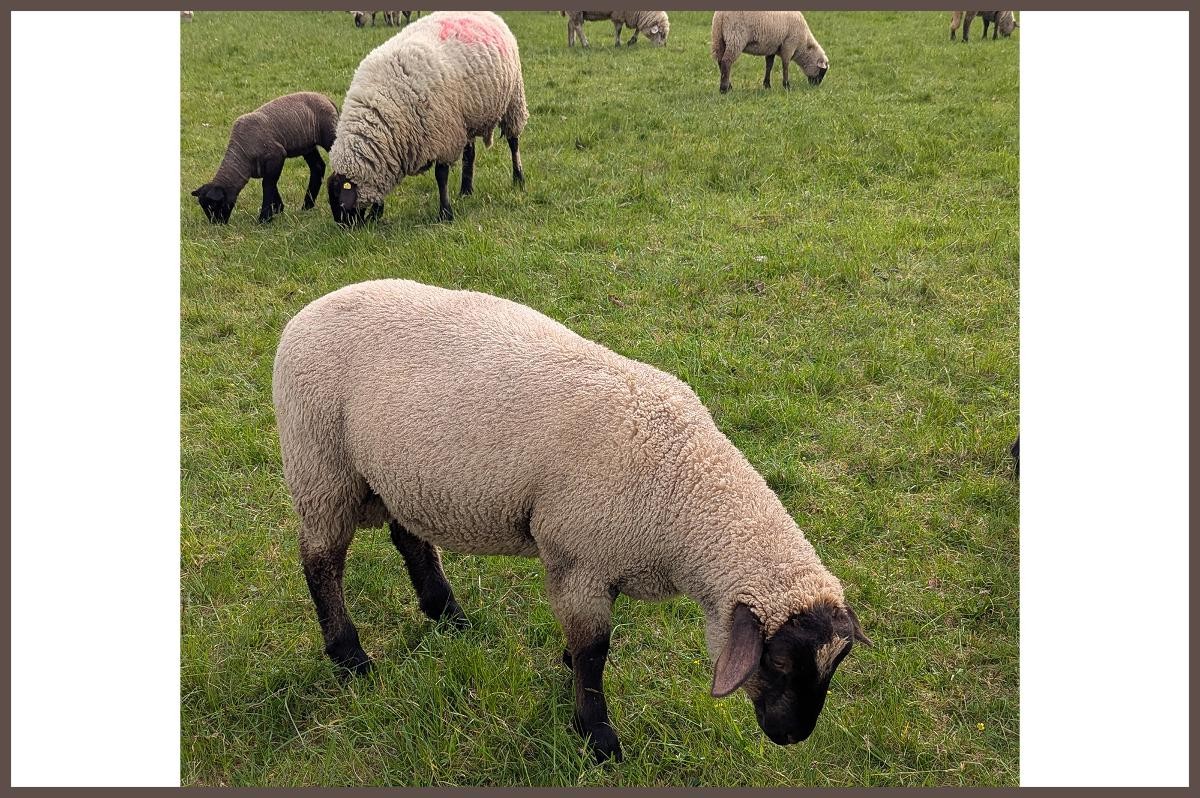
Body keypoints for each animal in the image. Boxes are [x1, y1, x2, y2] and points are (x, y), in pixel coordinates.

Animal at [191, 92, 338, 224]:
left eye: (214, 206)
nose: (216, 224)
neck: (242, 156)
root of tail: (326, 98)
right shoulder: (262, 167)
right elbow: (271, 185)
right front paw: (278, 209)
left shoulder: (277, 156)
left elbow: (268, 185)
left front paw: (265, 218)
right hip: (306, 144)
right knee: (317, 166)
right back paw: (307, 206)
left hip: (329, 135)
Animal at [272, 278, 871, 763]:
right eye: (778, 664)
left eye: (835, 666)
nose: (792, 737)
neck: (680, 485)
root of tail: (307, 311)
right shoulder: (581, 556)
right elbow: (594, 651)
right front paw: (596, 733)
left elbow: (584, 643)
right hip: (320, 463)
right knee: (321, 562)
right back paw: (350, 656)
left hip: (399, 474)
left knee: (408, 537)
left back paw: (447, 613)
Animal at [326, 11, 528, 226]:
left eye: (339, 201)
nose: (346, 229)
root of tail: (490, 14)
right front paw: (375, 214)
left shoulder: (443, 136)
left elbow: (441, 176)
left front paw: (445, 213)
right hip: (467, 117)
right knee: (470, 154)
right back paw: (466, 190)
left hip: (513, 100)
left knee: (513, 142)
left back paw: (518, 179)